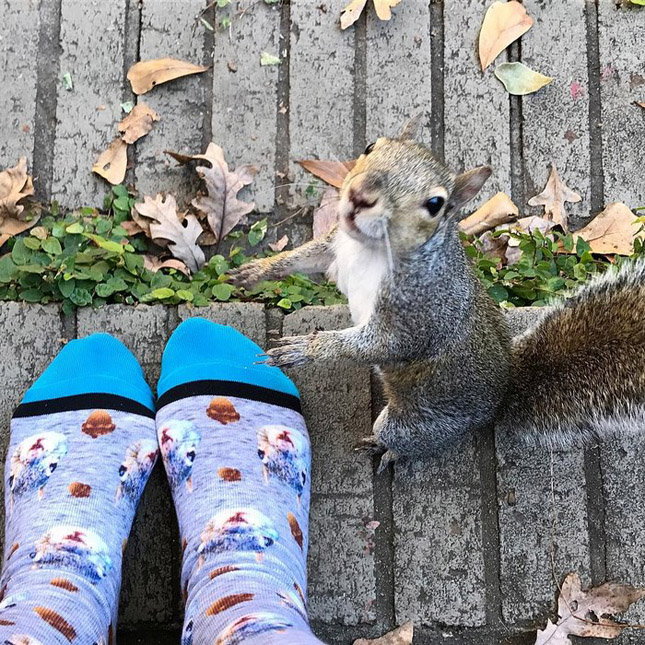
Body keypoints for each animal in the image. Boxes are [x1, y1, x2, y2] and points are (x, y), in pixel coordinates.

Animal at [228, 118, 644, 470]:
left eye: (435, 204)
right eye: (370, 146)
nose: (360, 195)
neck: (371, 251)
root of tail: (501, 396)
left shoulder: (419, 315)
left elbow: (379, 345)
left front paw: (306, 349)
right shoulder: (336, 249)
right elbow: (302, 257)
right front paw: (255, 271)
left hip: (413, 422)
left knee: (407, 439)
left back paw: (388, 450)